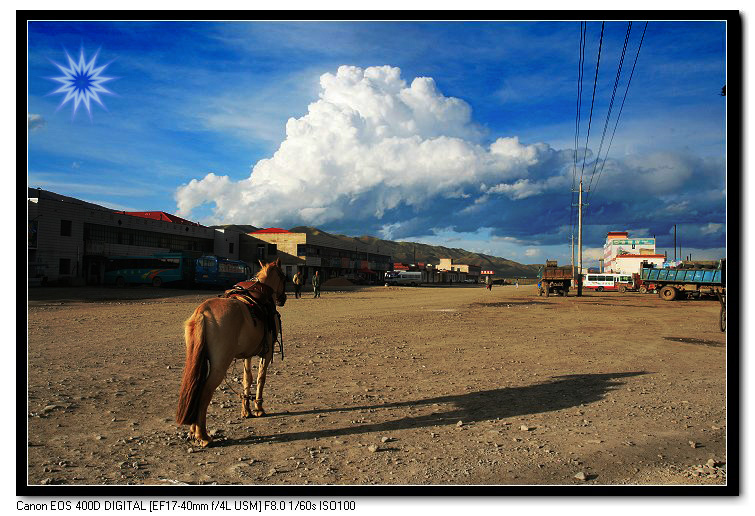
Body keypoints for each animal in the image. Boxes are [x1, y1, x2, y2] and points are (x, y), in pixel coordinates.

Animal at [176, 258, 288, 448]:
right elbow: (261, 379)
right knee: (204, 392)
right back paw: (203, 435)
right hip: (220, 364)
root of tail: (203, 312)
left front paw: (246, 410)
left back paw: (193, 430)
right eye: (283, 276)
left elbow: (247, 379)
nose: (284, 298)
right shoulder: (266, 353)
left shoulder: (247, 354)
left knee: (195, 388)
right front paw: (259, 408)